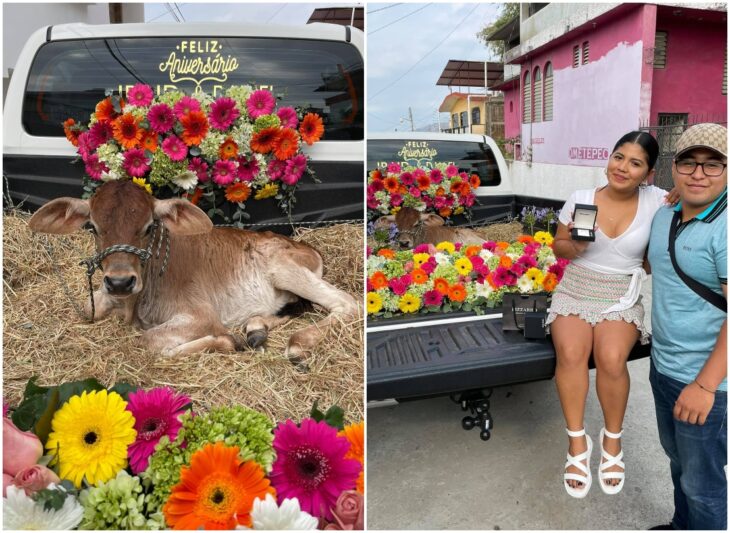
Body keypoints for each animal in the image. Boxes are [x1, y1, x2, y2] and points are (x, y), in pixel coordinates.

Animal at [28, 181, 358, 360]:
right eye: (93, 227)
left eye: (148, 227)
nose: (120, 282)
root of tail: (306, 246)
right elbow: (90, 308)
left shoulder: (202, 315)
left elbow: (148, 341)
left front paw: (227, 341)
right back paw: (255, 329)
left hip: (283, 268)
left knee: (347, 304)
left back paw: (296, 345)